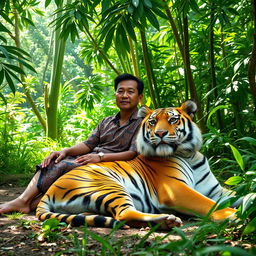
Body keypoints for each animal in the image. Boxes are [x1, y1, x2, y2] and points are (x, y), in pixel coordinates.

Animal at [35, 100, 236, 230]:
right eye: (153, 122)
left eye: (172, 120)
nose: (160, 133)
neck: (189, 154)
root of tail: (49, 190)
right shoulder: (175, 189)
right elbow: (208, 204)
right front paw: (233, 214)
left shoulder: (216, 191)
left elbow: (236, 194)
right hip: (108, 185)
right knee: (124, 214)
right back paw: (167, 220)